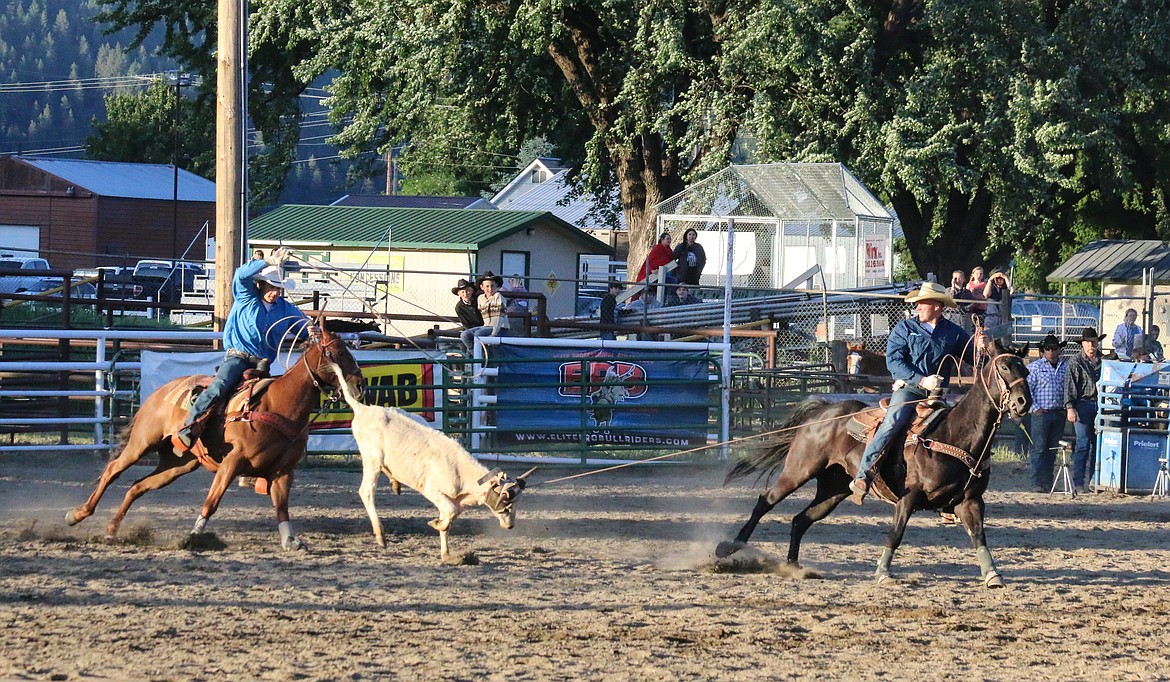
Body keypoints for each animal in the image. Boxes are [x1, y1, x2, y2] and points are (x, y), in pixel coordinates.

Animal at [64, 320, 362, 549]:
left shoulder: (283, 471)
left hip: (178, 464)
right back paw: (77, 514)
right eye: (336, 353)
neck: (279, 404)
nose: (359, 385)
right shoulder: (232, 462)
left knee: (138, 486)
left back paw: (112, 530)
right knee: (113, 469)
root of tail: (159, 393)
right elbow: (212, 501)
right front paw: (194, 536)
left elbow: (281, 508)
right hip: (142, 443)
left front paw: (291, 541)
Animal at [716, 339, 1029, 589]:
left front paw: (993, 575)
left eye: (1025, 370)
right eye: (1004, 368)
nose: (1023, 402)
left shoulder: (970, 501)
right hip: (799, 470)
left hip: (834, 489)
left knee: (801, 519)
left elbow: (979, 536)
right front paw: (882, 573)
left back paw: (793, 567)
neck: (955, 434)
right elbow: (896, 533)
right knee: (765, 501)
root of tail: (823, 412)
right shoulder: (908, 497)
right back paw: (729, 548)